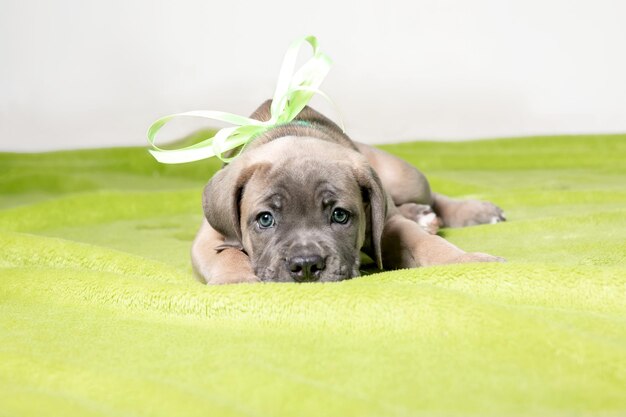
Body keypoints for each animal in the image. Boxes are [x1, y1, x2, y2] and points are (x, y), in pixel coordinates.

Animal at [190, 100, 502, 282]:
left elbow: (425, 243)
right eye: (265, 219)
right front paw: (237, 280)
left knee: (431, 198)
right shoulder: (212, 237)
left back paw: (472, 211)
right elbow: (227, 255)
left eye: (340, 216)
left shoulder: (389, 222)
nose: (306, 266)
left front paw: (465, 261)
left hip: (406, 178)